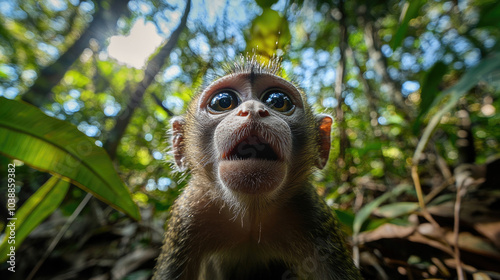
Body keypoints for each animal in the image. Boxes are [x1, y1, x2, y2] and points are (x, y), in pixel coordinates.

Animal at [153, 57, 364, 280]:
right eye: (223, 101)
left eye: (279, 101)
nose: (253, 109)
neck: (251, 212)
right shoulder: (188, 213)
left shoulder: (314, 215)